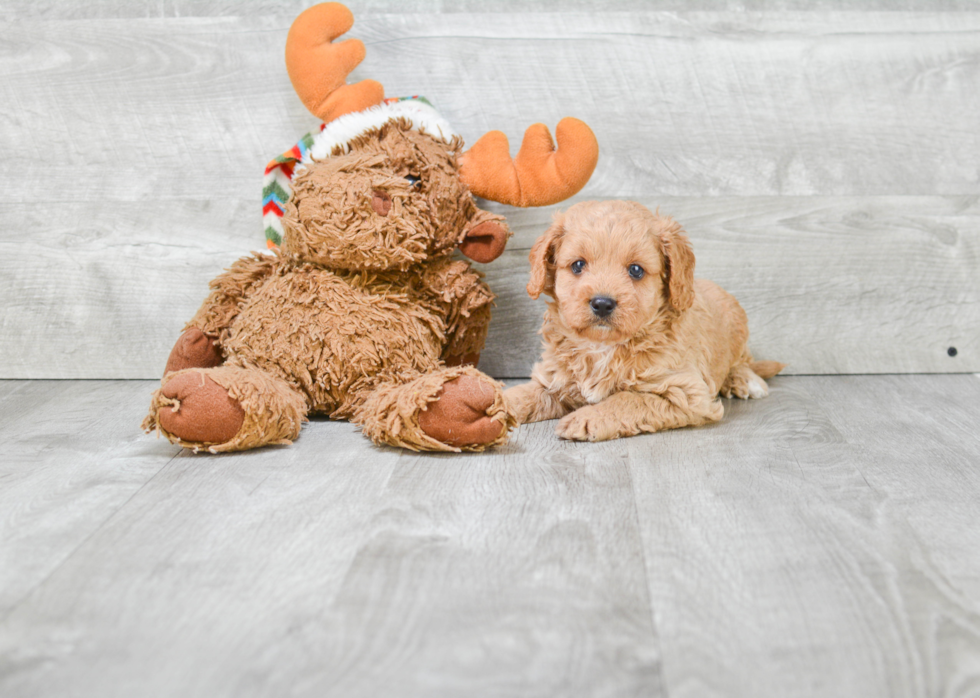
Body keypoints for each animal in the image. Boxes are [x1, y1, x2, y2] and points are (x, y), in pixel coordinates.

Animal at [510, 198, 784, 440]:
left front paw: (587, 418)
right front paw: (502, 404)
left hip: (739, 326)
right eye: (578, 265)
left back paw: (746, 380)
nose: (602, 303)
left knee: (742, 361)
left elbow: (628, 399)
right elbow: (526, 393)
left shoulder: (684, 391)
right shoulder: (554, 378)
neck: (602, 347)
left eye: (636, 270)